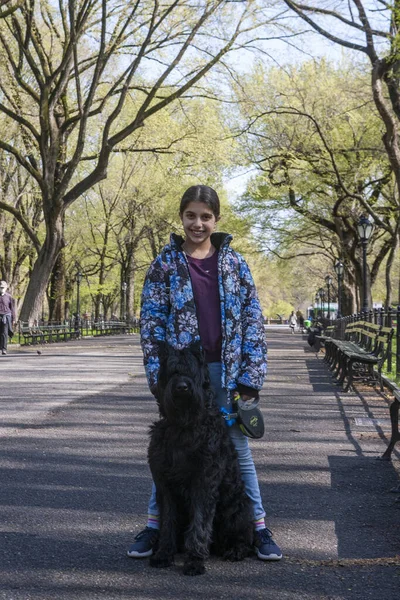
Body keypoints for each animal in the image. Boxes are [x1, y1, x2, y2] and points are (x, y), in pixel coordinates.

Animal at [147, 342, 253, 576]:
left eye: (191, 371)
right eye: (173, 371)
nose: (182, 387)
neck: (183, 426)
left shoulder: (203, 483)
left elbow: (200, 524)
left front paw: (194, 560)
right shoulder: (165, 486)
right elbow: (168, 522)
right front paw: (163, 554)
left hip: (237, 508)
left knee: (244, 536)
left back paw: (236, 549)